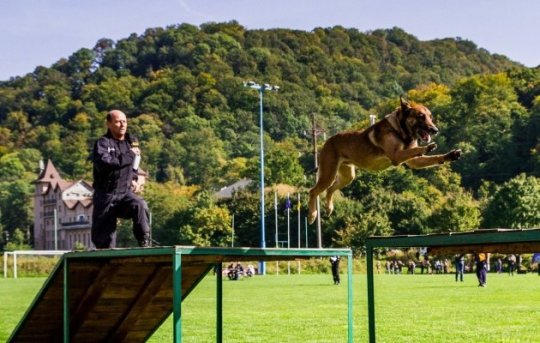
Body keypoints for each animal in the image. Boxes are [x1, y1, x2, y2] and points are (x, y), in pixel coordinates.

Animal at [308, 98, 460, 224]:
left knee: (330, 189)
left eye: (430, 117)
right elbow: (415, 150)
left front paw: (450, 155)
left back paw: (329, 208)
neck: (400, 129)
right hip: (328, 174)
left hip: (347, 176)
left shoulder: (413, 161)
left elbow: (432, 158)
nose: (435, 130)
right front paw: (427, 147)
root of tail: (327, 142)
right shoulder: (396, 156)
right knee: (313, 191)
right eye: (420, 116)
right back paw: (312, 215)